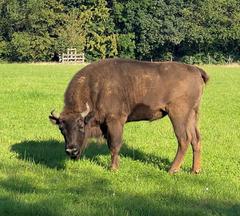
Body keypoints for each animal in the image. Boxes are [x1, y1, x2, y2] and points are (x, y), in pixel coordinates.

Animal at [49, 58, 208, 174]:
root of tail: (195, 70)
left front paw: (113, 169)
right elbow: (111, 145)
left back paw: (172, 170)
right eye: (61, 129)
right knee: (196, 139)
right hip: (192, 115)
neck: (95, 87)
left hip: (178, 115)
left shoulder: (115, 121)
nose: (71, 150)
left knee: (184, 139)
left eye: (81, 125)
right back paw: (195, 170)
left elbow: (114, 145)